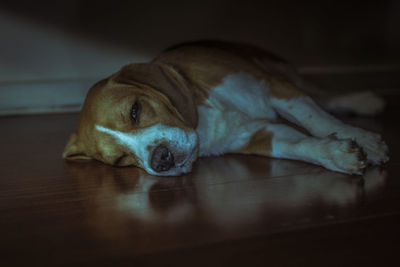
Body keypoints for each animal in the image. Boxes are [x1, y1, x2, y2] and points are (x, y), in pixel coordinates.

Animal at [61, 40, 388, 177]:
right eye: (120, 160)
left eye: (135, 110)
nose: (161, 161)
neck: (206, 122)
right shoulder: (259, 135)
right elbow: (300, 145)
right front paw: (335, 154)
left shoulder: (272, 87)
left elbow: (316, 119)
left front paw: (367, 141)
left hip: (281, 72)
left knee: (322, 96)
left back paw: (364, 101)